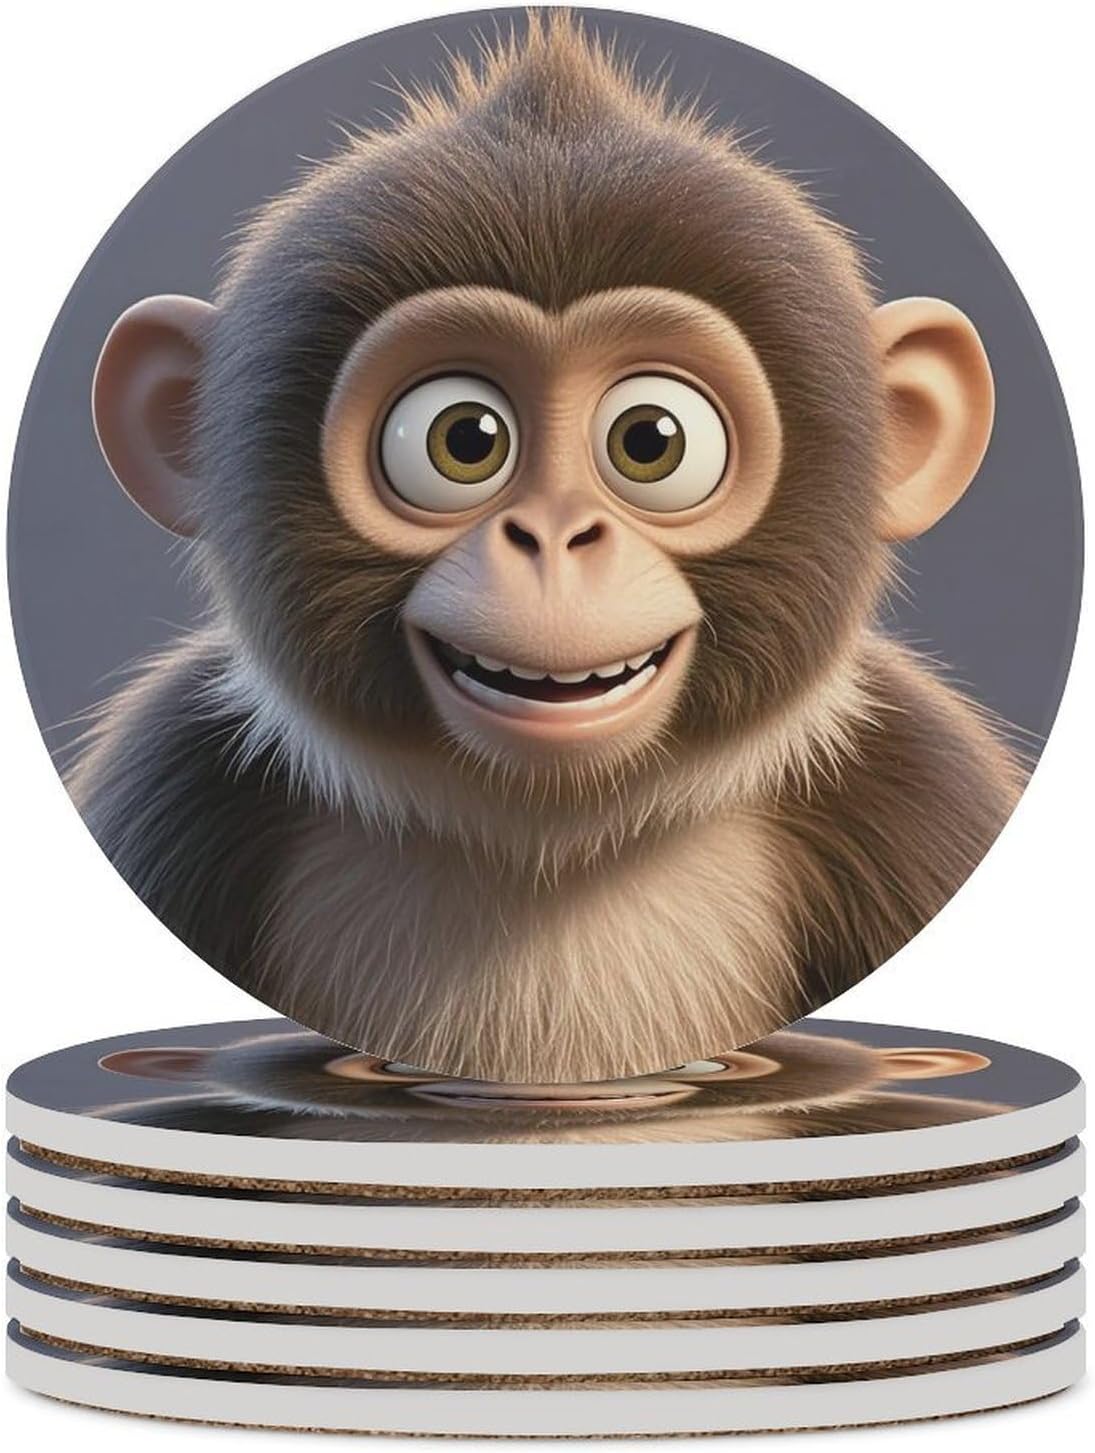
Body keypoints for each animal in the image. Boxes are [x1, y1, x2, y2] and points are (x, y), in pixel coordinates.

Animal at [71, 12, 1022, 1084]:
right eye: (464, 439)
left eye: (651, 440)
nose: (555, 536)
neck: (542, 852)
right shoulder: (171, 779)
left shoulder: (918, 784)